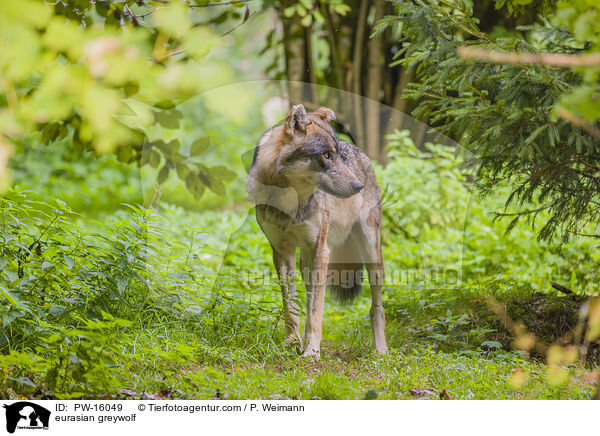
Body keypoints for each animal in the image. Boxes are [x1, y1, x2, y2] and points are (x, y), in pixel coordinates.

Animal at [246, 104, 386, 356]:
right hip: (305, 263)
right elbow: (291, 307)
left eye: (338, 155)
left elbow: (315, 311)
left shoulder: (321, 251)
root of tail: (360, 152)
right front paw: (291, 343)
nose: (358, 186)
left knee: (376, 307)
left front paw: (311, 351)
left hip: (371, 256)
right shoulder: (281, 253)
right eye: (326, 155)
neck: (289, 201)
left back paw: (381, 352)